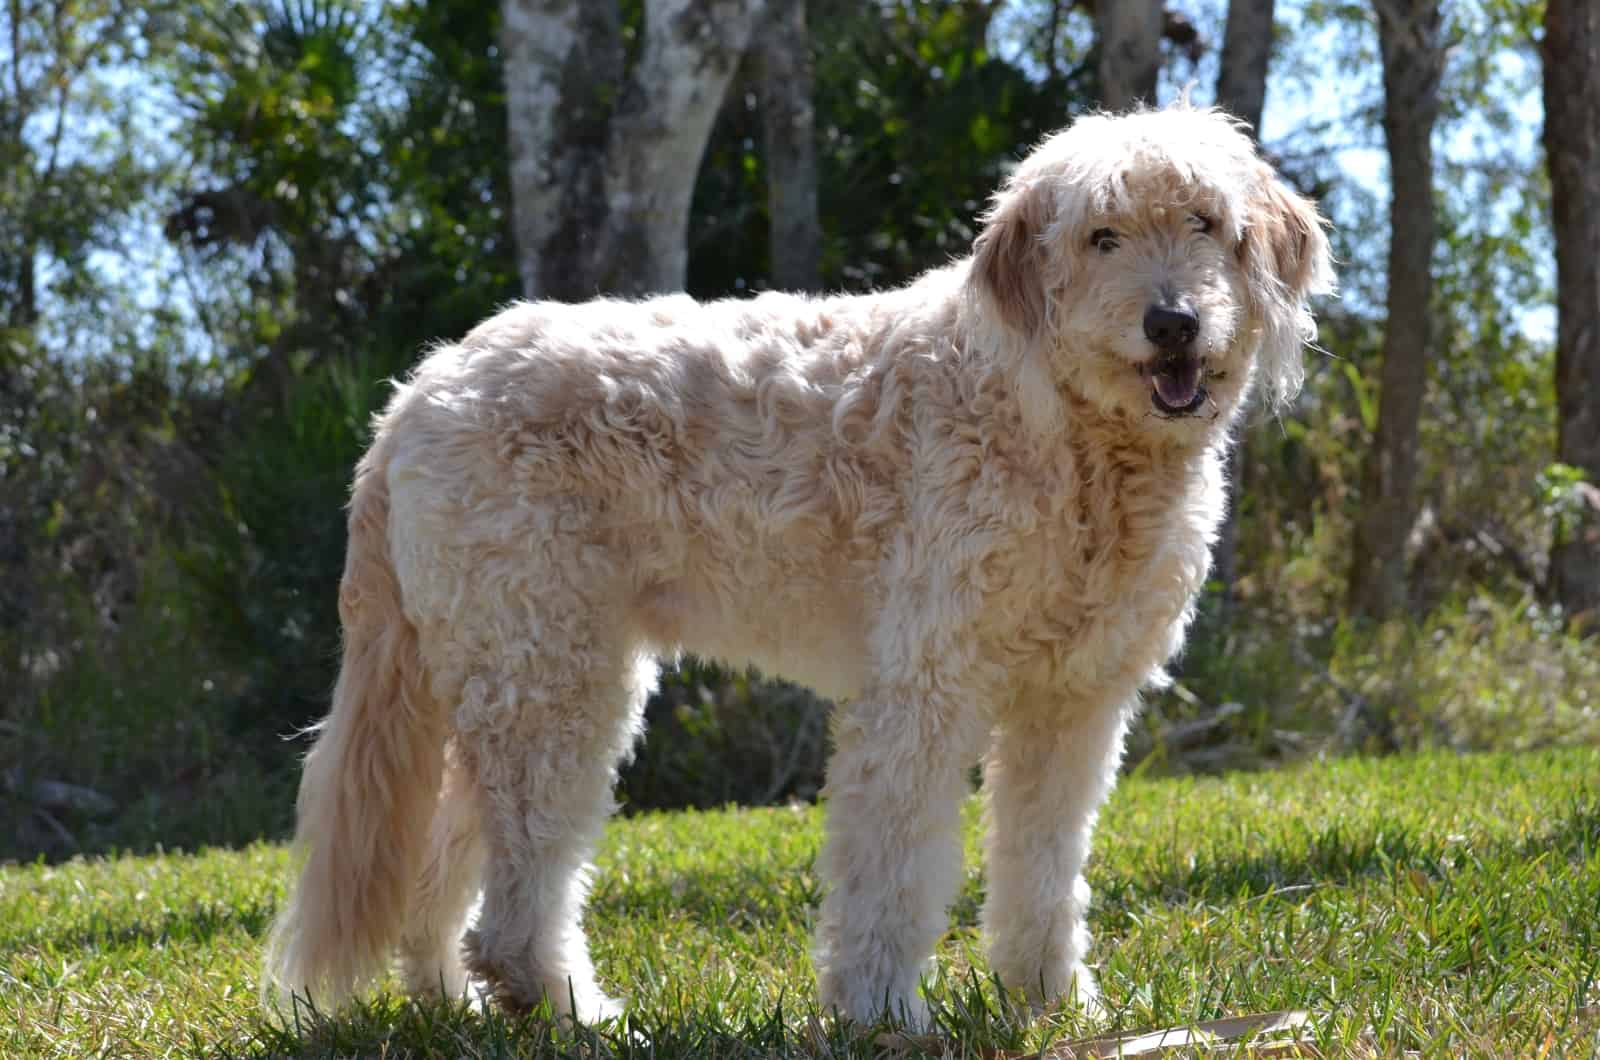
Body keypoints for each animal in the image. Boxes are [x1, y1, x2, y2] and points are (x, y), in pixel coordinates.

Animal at [265, 105, 1337, 1031]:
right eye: (1102, 236)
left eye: (1205, 223)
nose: (1173, 323)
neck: (1061, 429)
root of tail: (414, 392)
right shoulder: (923, 686)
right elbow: (896, 863)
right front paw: (884, 1013)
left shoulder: (1071, 704)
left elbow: (1042, 864)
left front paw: (1052, 1007)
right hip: (552, 672)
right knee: (522, 882)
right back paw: (575, 1010)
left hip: (498, 667)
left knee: (445, 857)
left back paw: (457, 1002)